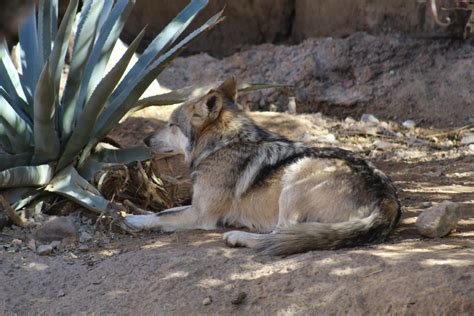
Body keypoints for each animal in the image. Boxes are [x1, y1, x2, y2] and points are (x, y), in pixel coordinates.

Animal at [124, 77, 402, 256]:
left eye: (171, 124)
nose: (145, 140)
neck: (223, 145)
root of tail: (386, 197)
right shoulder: (196, 205)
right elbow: (164, 210)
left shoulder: (201, 215)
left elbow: (160, 216)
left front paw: (131, 219)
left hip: (296, 176)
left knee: (280, 235)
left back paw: (239, 237)